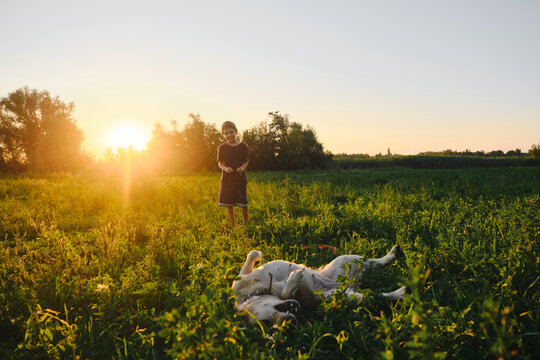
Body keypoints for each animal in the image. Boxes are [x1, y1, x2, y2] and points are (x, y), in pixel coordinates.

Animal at [232, 245, 404, 324]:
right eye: (266, 323)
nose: (290, 324)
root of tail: (346, 284)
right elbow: (288, 293)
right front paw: (294, 279)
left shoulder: (240, 280)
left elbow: (247, 261)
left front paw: (257, 254)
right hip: (340, 296)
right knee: (378, 295)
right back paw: (400, 292)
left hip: (345, 259)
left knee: (376, 263)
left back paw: (392, 254)